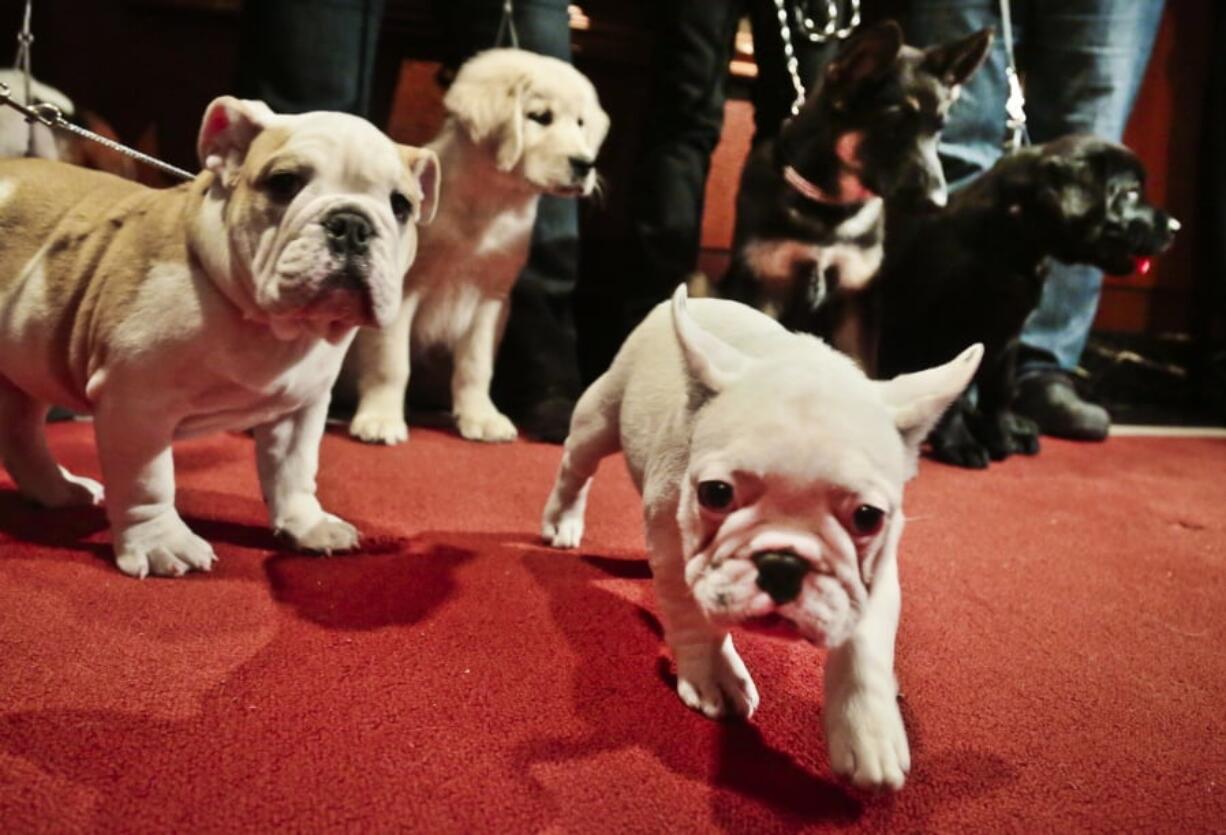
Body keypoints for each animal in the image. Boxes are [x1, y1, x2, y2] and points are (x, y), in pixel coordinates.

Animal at [0, 94, 441, 576]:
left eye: (401, 206)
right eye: (284, 183)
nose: (353, 224)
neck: (266, 322)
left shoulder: (300, 407)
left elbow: (294, 470)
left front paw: (307, 525)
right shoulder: (135, 404)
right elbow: (148, 483)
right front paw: (161, 543)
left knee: (21, 432)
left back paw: (59, 491)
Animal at [343, 47, 610, 443]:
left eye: (581, 123)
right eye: (540, 117)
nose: (585, 164)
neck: (489, 206)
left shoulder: (490, 298)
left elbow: (476, 366)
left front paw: (481, 417)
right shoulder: (400, 291)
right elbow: (391, 362)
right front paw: (381, 418)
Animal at [541, 286, 980, 789]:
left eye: (867, 518)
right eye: (715, 493)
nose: (783, 563)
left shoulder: (874, 570)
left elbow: (864, 644)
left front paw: (868, 729)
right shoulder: (674, 544)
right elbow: (692, 613)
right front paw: (713, 673)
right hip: (601, 414)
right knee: (577, 464)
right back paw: (562, 519)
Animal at [877, 133, 1172, 465]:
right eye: (1131, 193)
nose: (1176, 227)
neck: (1013, 241)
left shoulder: (1007, 334)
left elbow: (999, 392)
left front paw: (1001, 435)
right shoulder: (944, 333)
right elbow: (951, 394)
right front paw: (960, 444)